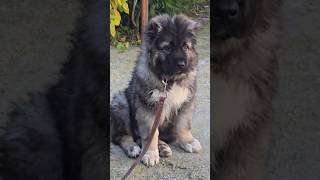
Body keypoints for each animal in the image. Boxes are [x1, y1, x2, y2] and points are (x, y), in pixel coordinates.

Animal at [110, 14, 200, 167]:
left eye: (185, 46)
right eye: (167, 48)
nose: (182, 64)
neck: (169, 79)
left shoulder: (186, 102)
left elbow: (183, 124)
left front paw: (188, 141)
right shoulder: (148, 106)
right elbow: (151, 133)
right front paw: (150, 153)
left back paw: (162, 147)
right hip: (121, 102)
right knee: (122, 136)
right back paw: (133, 148)